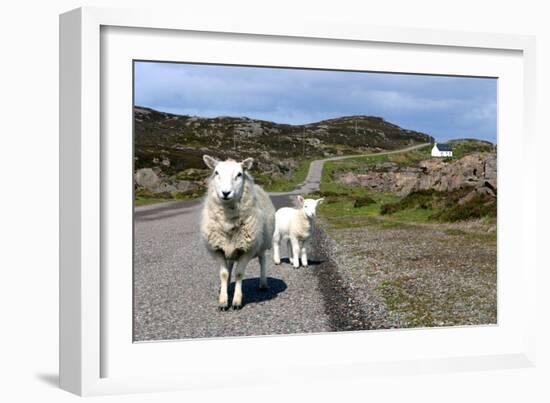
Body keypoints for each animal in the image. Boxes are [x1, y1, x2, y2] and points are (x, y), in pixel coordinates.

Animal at [201, 156, 276, 310]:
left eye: (239, 174)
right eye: (216, 172)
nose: (225, 193)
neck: (228, 220)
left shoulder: (247, 249)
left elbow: (240, 273)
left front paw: (236, 301)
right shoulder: (218, 249)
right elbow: (224, 274)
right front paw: (223, 300)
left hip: (261, 244)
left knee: (262, 261)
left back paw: (263, 284)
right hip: (229, 248)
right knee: (229, 265)